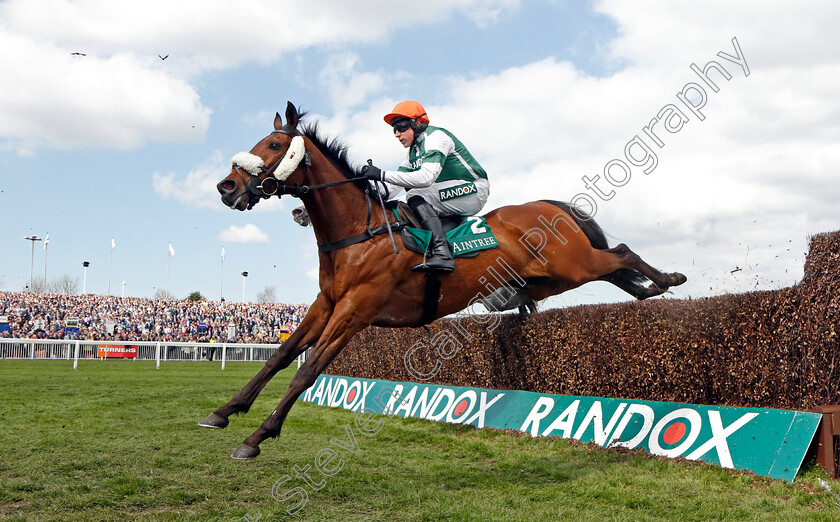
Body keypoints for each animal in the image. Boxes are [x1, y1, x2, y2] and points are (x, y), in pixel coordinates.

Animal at [205, 100, 688, 456]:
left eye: (273, 144)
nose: (227, 188)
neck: (360, 232)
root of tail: (552, 206)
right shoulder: (327, 303)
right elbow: (280, 356)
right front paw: (225, 411)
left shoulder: (355, 310)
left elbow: (307, 371)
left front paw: (257, 437)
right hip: (553, 279)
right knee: (618, 269)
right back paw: (650, 287)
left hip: (573, 266)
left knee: (622, 253)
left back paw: (669, 278)